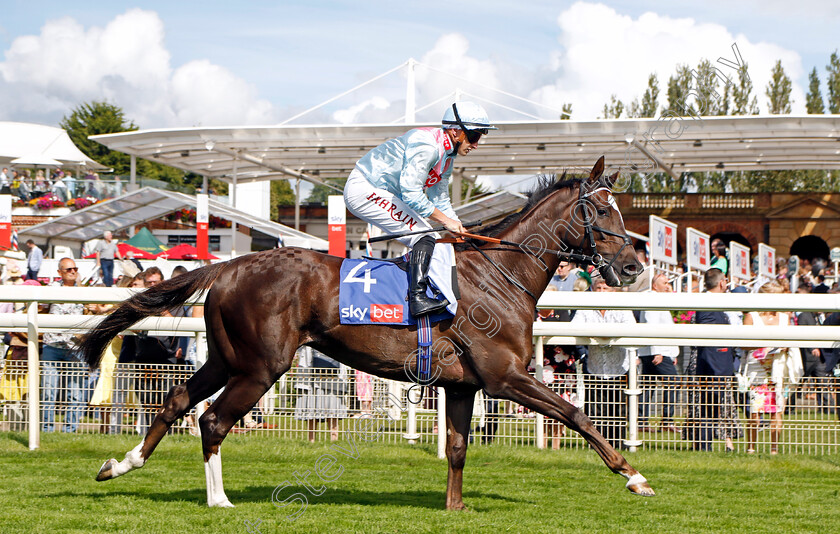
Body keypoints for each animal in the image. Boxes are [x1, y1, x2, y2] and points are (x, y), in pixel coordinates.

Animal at [79, 156, 652, 510]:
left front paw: (455, 506)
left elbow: (457, 447)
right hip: (262, 367)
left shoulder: (463, 385)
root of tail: (231, 264)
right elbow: (578, 414)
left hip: (226, 358)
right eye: (601, 210)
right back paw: (219, 498)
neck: (498, 273)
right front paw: (634, 476)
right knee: (214, 420)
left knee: (177, 399)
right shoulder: (504, 376)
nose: (631, 267)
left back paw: (119, 464)